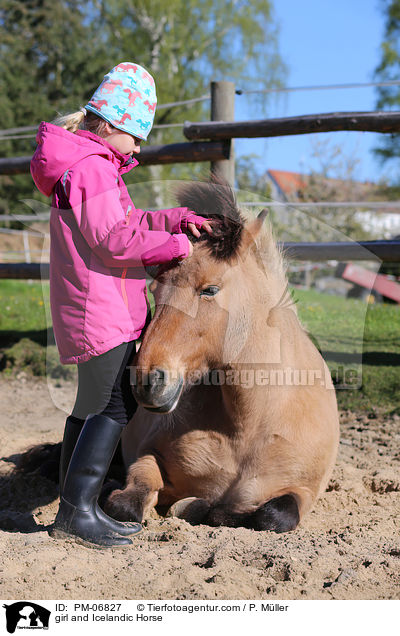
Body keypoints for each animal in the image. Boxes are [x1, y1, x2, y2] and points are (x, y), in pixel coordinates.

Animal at [102, 179, 338, 532]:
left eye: (210, 290)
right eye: (154, 291)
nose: (147, 381)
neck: (249, 426)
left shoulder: (304, 489)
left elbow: (273, 514)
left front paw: (197, 507)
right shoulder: (148, 453)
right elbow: (128, 500)